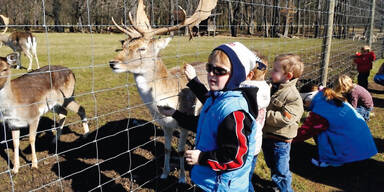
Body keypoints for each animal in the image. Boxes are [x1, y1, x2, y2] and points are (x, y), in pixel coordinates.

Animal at [109, 0, 218, 183]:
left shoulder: (184, 121)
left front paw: (181, 178)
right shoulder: (164, 124)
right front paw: (164, 174)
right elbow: (167, 149)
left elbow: (180, 150)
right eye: (123, 45)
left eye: (142, 48)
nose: (113, 63)